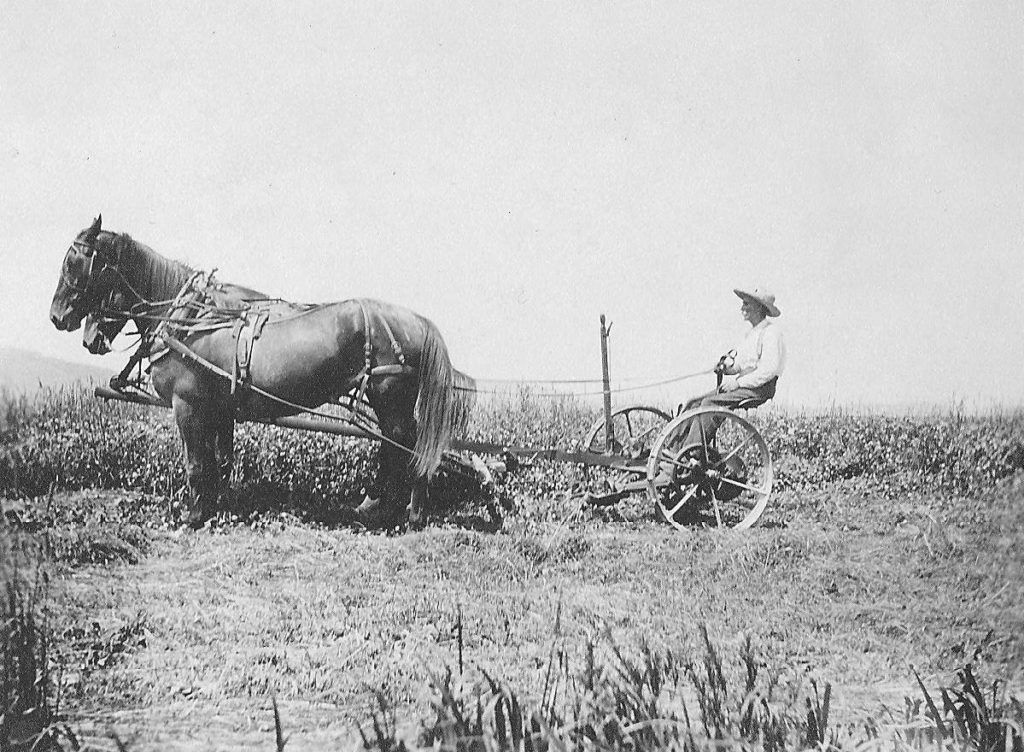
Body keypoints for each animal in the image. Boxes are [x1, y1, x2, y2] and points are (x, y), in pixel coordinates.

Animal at [49, 215, 473, 528]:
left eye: (74, 261)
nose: (58, 318)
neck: (191, 321)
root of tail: (418, 321)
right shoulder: (218, 409)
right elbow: (219, 462)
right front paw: (216, 505)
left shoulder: (187, 406)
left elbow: (196, 463)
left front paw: (193, 515)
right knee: (396, 446)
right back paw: (379, 505)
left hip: (390, 397)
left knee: (406, 445)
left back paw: (406, 511)